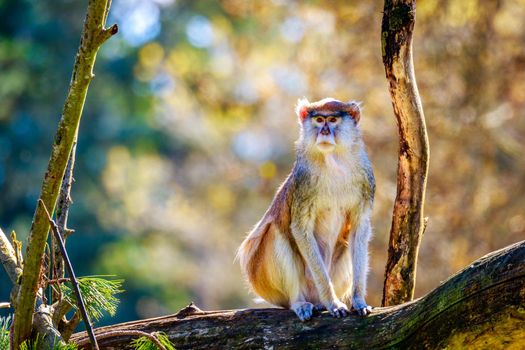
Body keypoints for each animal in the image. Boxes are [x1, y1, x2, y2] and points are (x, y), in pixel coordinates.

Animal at [237, 98, 372, 320]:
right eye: (318, 120)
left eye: (332, 120)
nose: (324, 132)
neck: (333, 161)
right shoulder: (303, 182)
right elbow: (300, 230)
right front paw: (333, 303)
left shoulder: (366, 181)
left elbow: (359, 230)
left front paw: (359, 301)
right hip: (266, 281)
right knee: (274, 232)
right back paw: (300, 302)